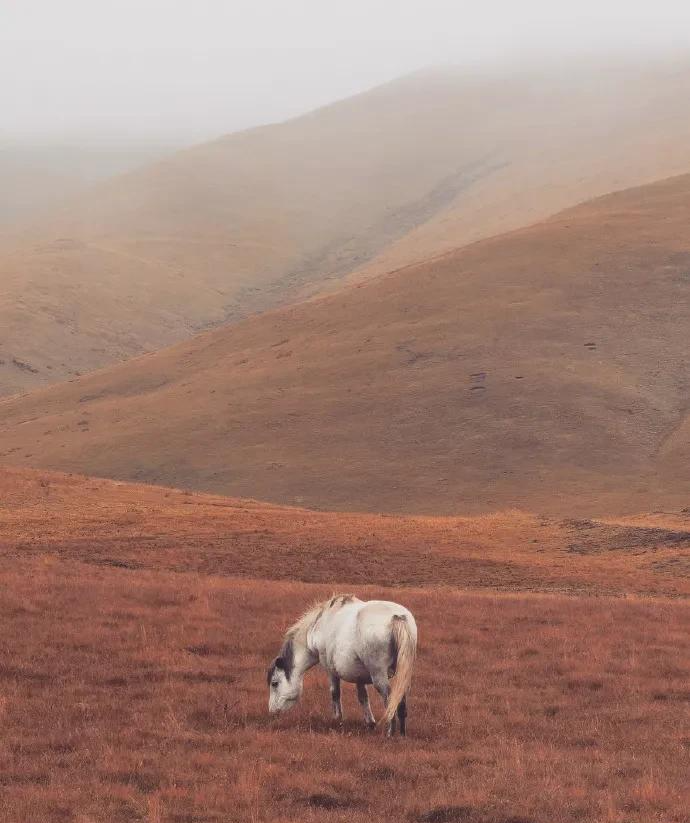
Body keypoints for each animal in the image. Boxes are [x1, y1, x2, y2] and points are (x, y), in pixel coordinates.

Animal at [266, 596, 416, 736]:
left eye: (274, 683)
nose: (272, 711)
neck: (318, 626)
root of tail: (397, 617)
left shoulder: (330, 670)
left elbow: (335, 693)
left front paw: (337, 719)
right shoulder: (359, 676)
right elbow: (363, 697)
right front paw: (370, 723)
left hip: (379, 676)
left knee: (390, 701)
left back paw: (390, 733)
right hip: (401, 675)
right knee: (400, 701)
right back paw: (401, 734)